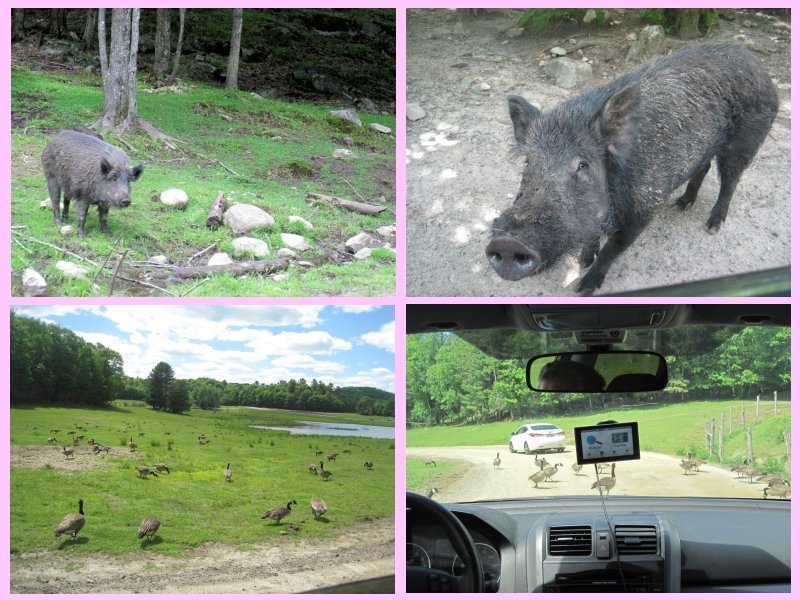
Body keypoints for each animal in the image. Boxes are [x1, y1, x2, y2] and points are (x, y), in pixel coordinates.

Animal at [484, 44, 780, 296]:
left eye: (583, 165)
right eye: (528, 162)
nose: (508, 242)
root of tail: (758, 63)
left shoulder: (643, 209)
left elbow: (612, 250)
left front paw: (583, 288)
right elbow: (592, 238)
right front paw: (583, 260)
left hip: (746, 141)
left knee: (730, 182)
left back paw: (711, 227)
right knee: (703, 168)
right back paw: (681, 205)